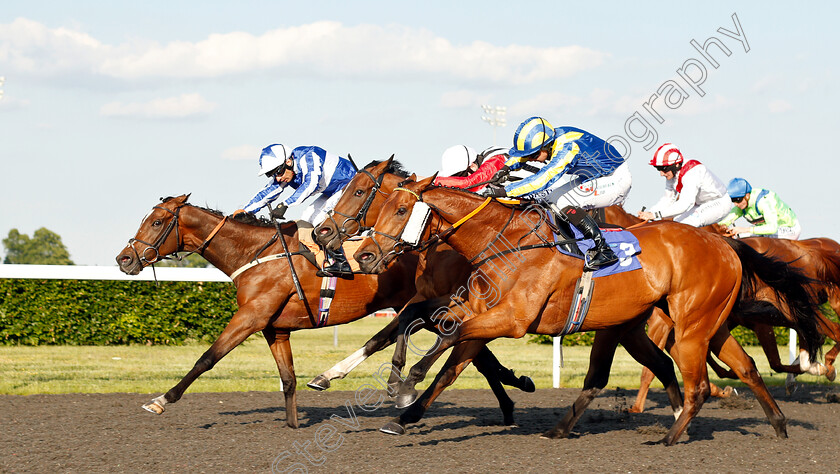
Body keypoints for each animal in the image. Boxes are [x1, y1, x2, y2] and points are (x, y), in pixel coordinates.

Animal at [115, 194, 420, 428]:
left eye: (156, 222)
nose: (124, 258)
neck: (254, 254)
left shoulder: (251, 317)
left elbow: (207, 358)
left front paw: (161, 400)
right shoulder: (275, 328)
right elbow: (288, 378)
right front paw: (292, 425)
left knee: (390, 334)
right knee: (394, 333)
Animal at [308, 157, 532, 416]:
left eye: (359, 192)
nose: (322, 232)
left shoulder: (459, 302)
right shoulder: (422, 297)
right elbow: (385, 335)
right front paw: (329, 375)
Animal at [600, 205, 840, 412]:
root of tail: (808, 249)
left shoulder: (662, 323)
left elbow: (651, 369)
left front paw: (637, 407)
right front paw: (721, 388)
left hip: (786, 309)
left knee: (826, 332)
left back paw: (823, 366)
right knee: (804, 340)